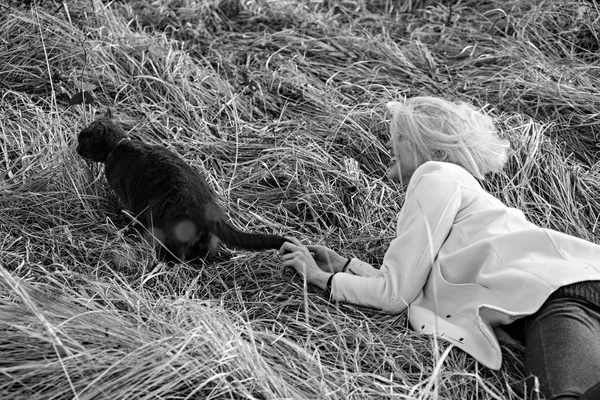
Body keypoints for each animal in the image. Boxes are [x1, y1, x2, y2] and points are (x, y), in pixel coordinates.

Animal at [75, 109, 288, 262]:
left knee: (179, 255)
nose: (76, 148)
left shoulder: (128, 197)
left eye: (81, 139)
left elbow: (128, 212)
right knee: (205, 252)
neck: (118, 146)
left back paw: (164, 260)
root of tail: (210, 207)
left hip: (168, 221)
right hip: (207, 238)